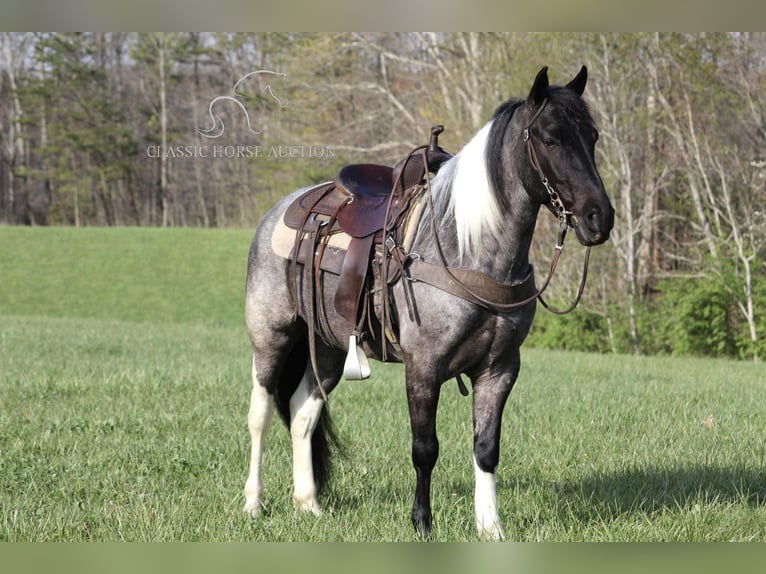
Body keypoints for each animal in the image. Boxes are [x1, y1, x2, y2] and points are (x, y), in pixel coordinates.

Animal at [246, 67, 616, 540]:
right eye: (550, 139)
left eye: (593, 137)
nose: (599, 217)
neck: (468, 246)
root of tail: (282, 209)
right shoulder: (423, 366)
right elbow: (425, 448)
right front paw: (422, 523)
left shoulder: (499, 369)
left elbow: (486, 448)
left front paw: (490, 527)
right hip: (271, 337)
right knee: (260, 414)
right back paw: (253, 503)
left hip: (327, 347)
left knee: (302, 413)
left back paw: (309, 504)